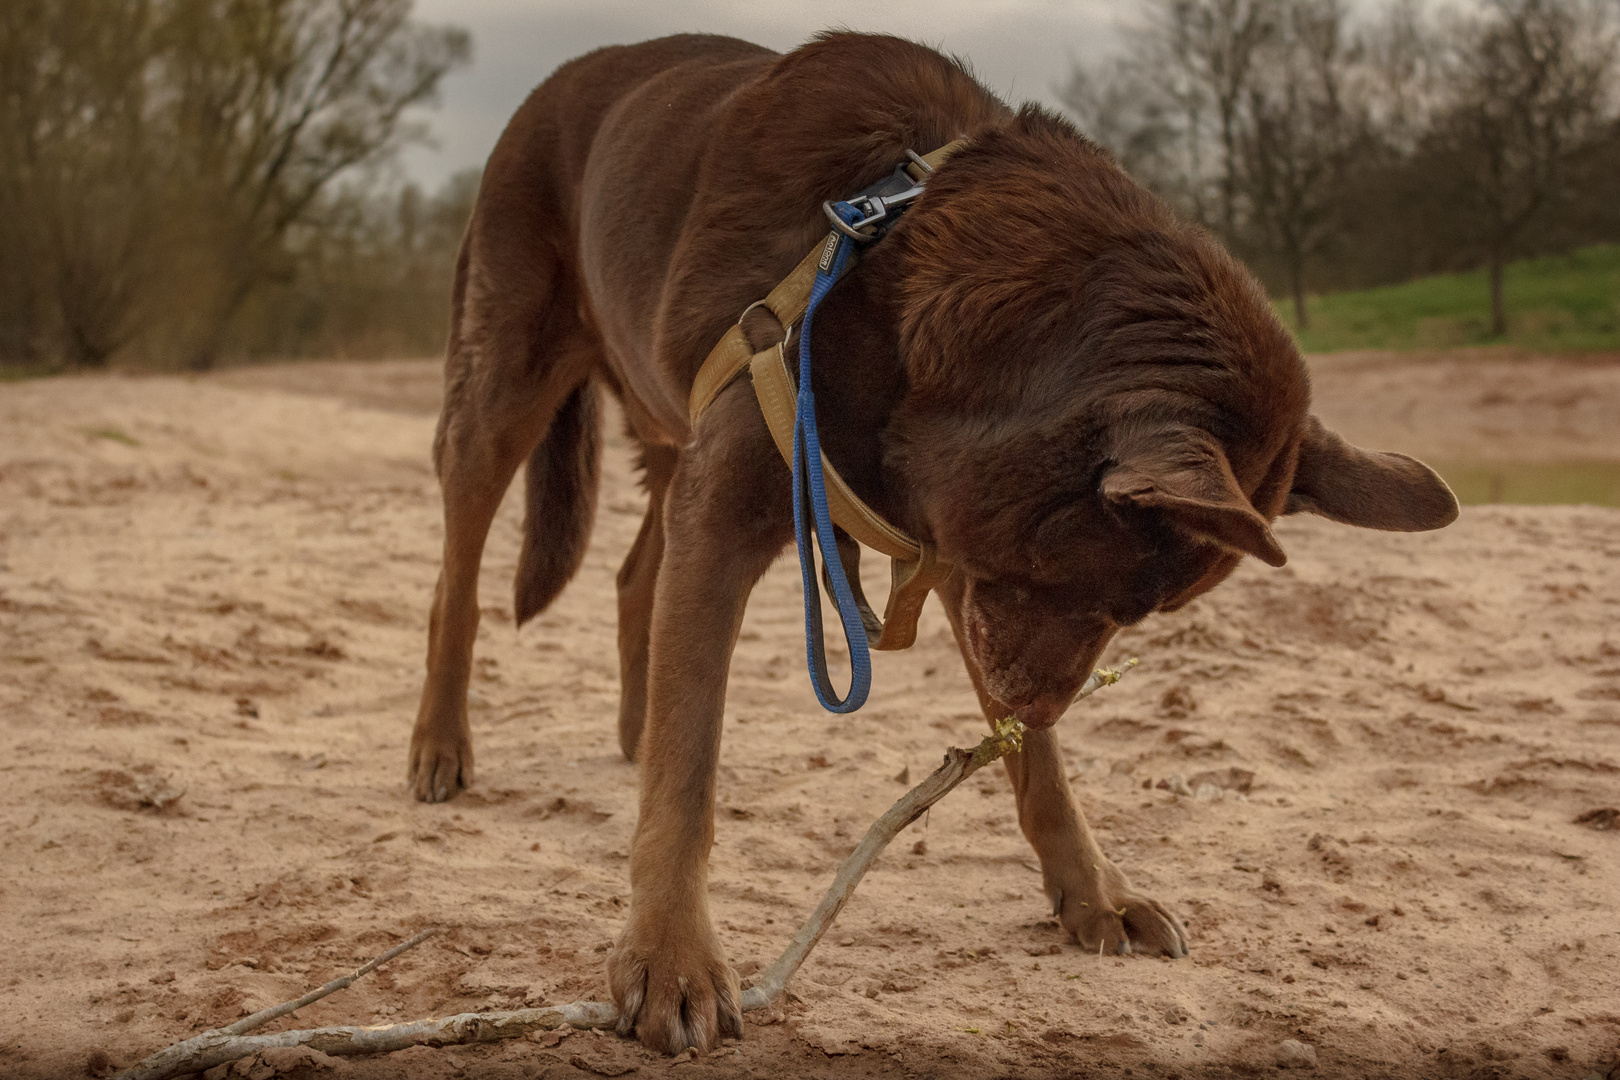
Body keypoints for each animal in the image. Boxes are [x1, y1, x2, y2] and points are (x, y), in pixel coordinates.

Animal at [401, 31, 1458, 1055]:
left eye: (1143, 615)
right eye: (1115, 597)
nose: (1034, 704)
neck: (897, 275)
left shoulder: (949, 546)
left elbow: (1041, 770)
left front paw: (1093, 891)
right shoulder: (746, 511)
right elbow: (692, 771)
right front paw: (670, 960)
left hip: (667, 433)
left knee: (634, 579)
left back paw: (630, 727)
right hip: (504, 381)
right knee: (459, 572)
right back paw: (440, 747)